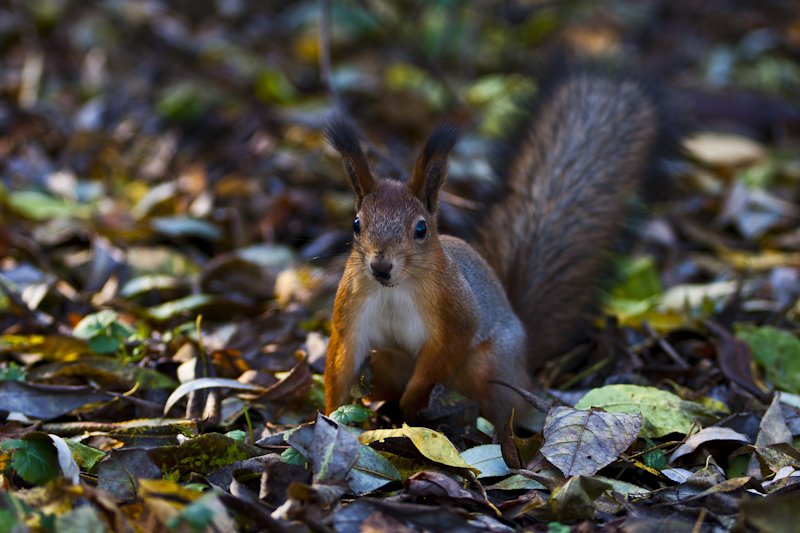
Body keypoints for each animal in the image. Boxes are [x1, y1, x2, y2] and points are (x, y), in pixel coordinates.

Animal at [322, 58, 684, 428]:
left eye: (421, 229)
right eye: (356, 224)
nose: (380, 266)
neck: (394, 290)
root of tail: (524, 367)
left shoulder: (456, 311)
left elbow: (445, 352)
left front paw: (413, 399)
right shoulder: (351, 314)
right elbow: (341, 364)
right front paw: (329, 416)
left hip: (487, 365)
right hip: (386, 360)